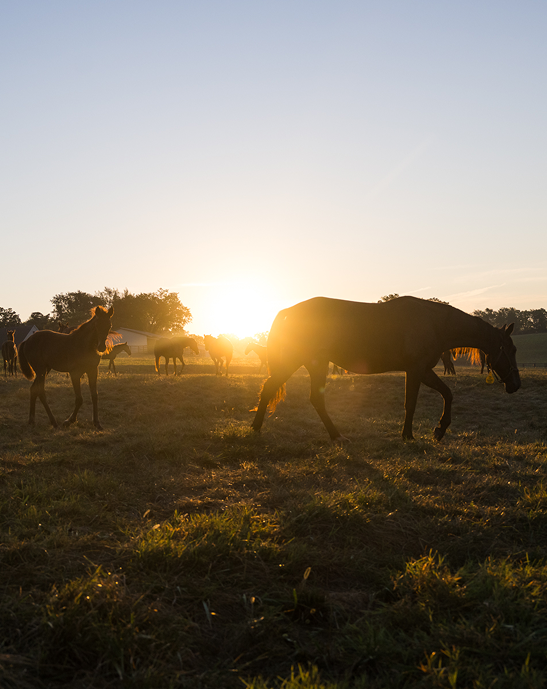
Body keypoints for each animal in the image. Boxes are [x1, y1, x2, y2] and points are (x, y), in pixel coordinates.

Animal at [251, 296, 520, 442]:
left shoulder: (423, 371)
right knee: (298, 395)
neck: (434, 323)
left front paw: (439, 430)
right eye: (513, 350)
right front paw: (408, 435)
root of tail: (289, 311)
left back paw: (257, 428)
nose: (516, 385)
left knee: (276, 389)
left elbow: (447, 393)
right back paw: (336, 436)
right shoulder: (415, 370)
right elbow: (411, 403)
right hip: (309, 363)